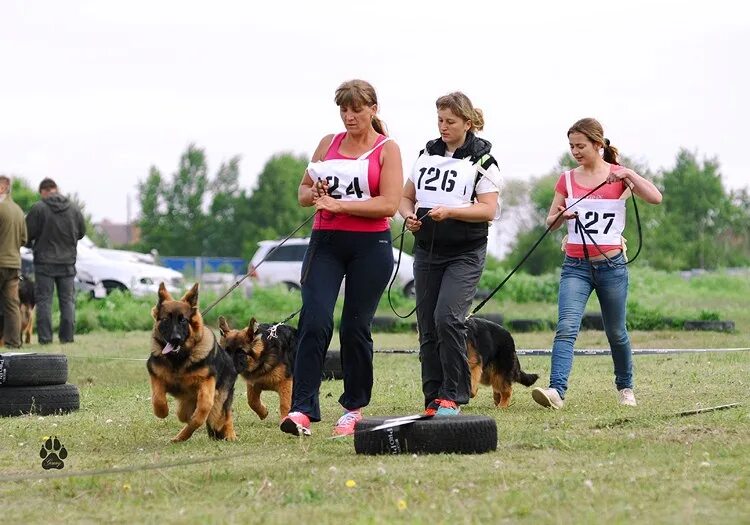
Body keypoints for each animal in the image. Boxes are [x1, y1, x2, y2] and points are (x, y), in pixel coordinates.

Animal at [148, 282, 238, 442]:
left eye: (183, 320)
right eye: (166, 320)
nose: (175, 339)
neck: (179, 360)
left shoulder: (207, 382)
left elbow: (203, 408)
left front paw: (196, 418)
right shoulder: (156, 376)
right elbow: (158, 399)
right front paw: (162, 411)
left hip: (221, 398)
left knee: (224, 415)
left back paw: (230, 434)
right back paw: (179, 437)